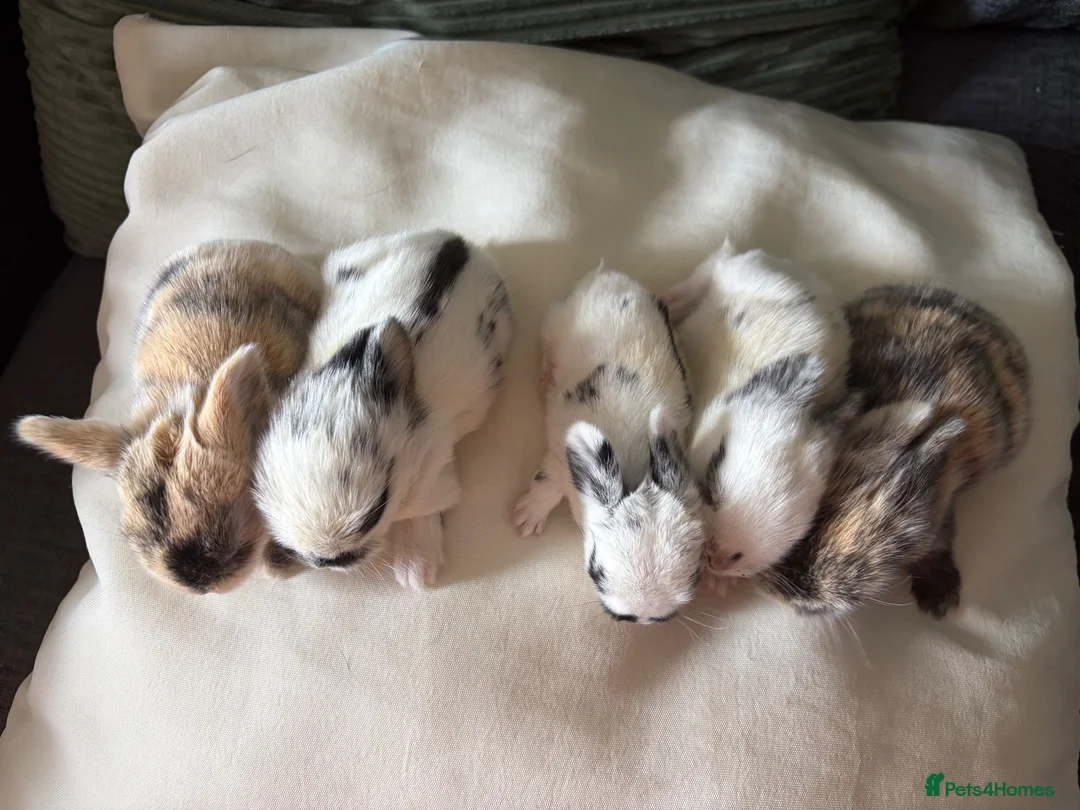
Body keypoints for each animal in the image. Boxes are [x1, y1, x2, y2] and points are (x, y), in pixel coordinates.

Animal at [254, 229, 513, 590]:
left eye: (375, 513)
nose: (327, 560)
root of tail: (462, 244)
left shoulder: (432, 476)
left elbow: (421, 514)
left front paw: (416, 572)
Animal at [513, 267, 705, 624]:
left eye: (696, 575)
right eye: (595, 569)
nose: (643, 617)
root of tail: (609, 278)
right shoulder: (558, 462)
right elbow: (546, 485)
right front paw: (527, 518)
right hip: (554, 323)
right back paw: (545, 378)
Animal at [659, 239, 851, 594]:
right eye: (711, 480)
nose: (720, 559)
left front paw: (716, 583)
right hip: (732, 272)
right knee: (714, 266)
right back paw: (670, 298)